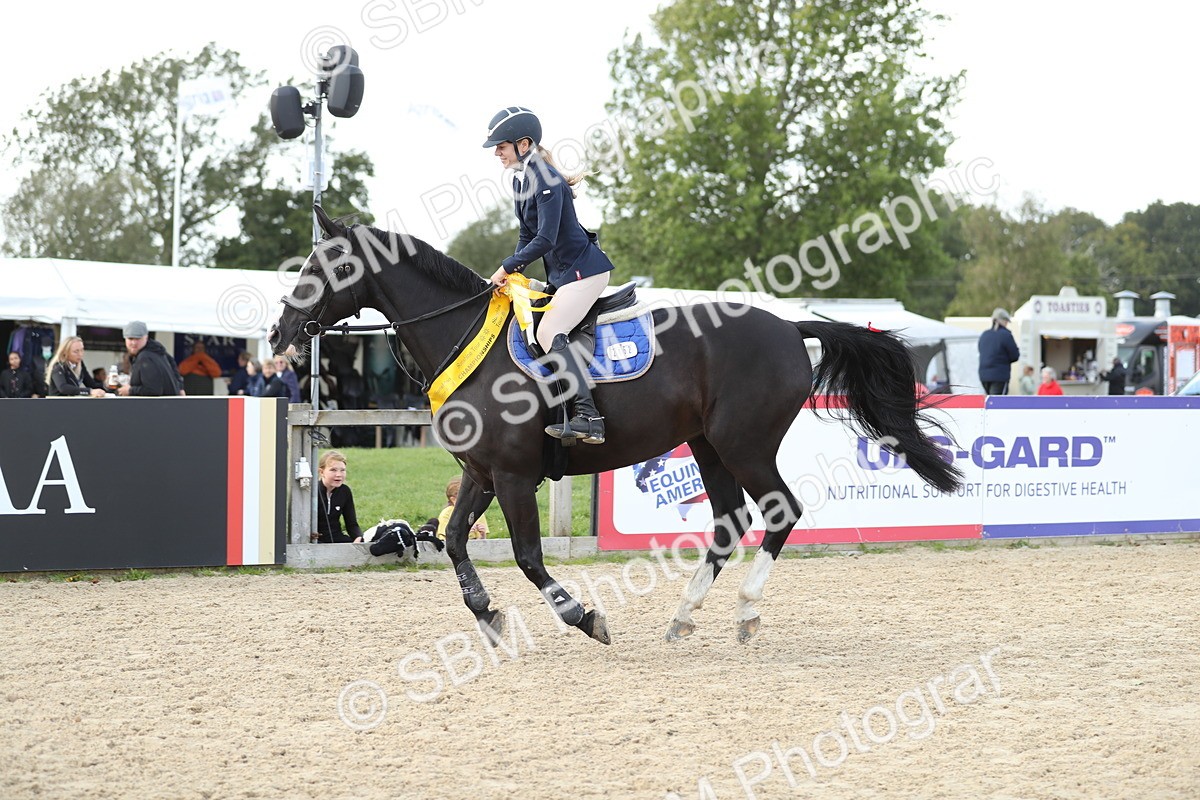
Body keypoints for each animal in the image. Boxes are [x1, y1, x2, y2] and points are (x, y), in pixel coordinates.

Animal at [270, 206, 963, 646]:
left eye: (329, 267)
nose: (279, 334)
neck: (468, 340)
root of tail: (791, 328)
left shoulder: (515, 476)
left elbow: (527, 557)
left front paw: (583, 617)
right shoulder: (481, 473)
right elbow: (459, 542)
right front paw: (488, 616)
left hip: (745, 444)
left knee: (779, 511)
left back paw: (745, 612)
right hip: (709, 446)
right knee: (727, 522)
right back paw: (683, 617)